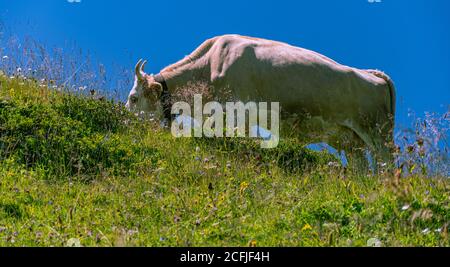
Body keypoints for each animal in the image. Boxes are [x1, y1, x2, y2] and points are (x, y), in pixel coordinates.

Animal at [125, 34, 394, 172]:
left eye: (133, 98)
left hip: (377, 133)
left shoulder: (239, 112)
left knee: (388, 164)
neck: (209, 65)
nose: (126, 122)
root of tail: (374, 74)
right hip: (352, 142)